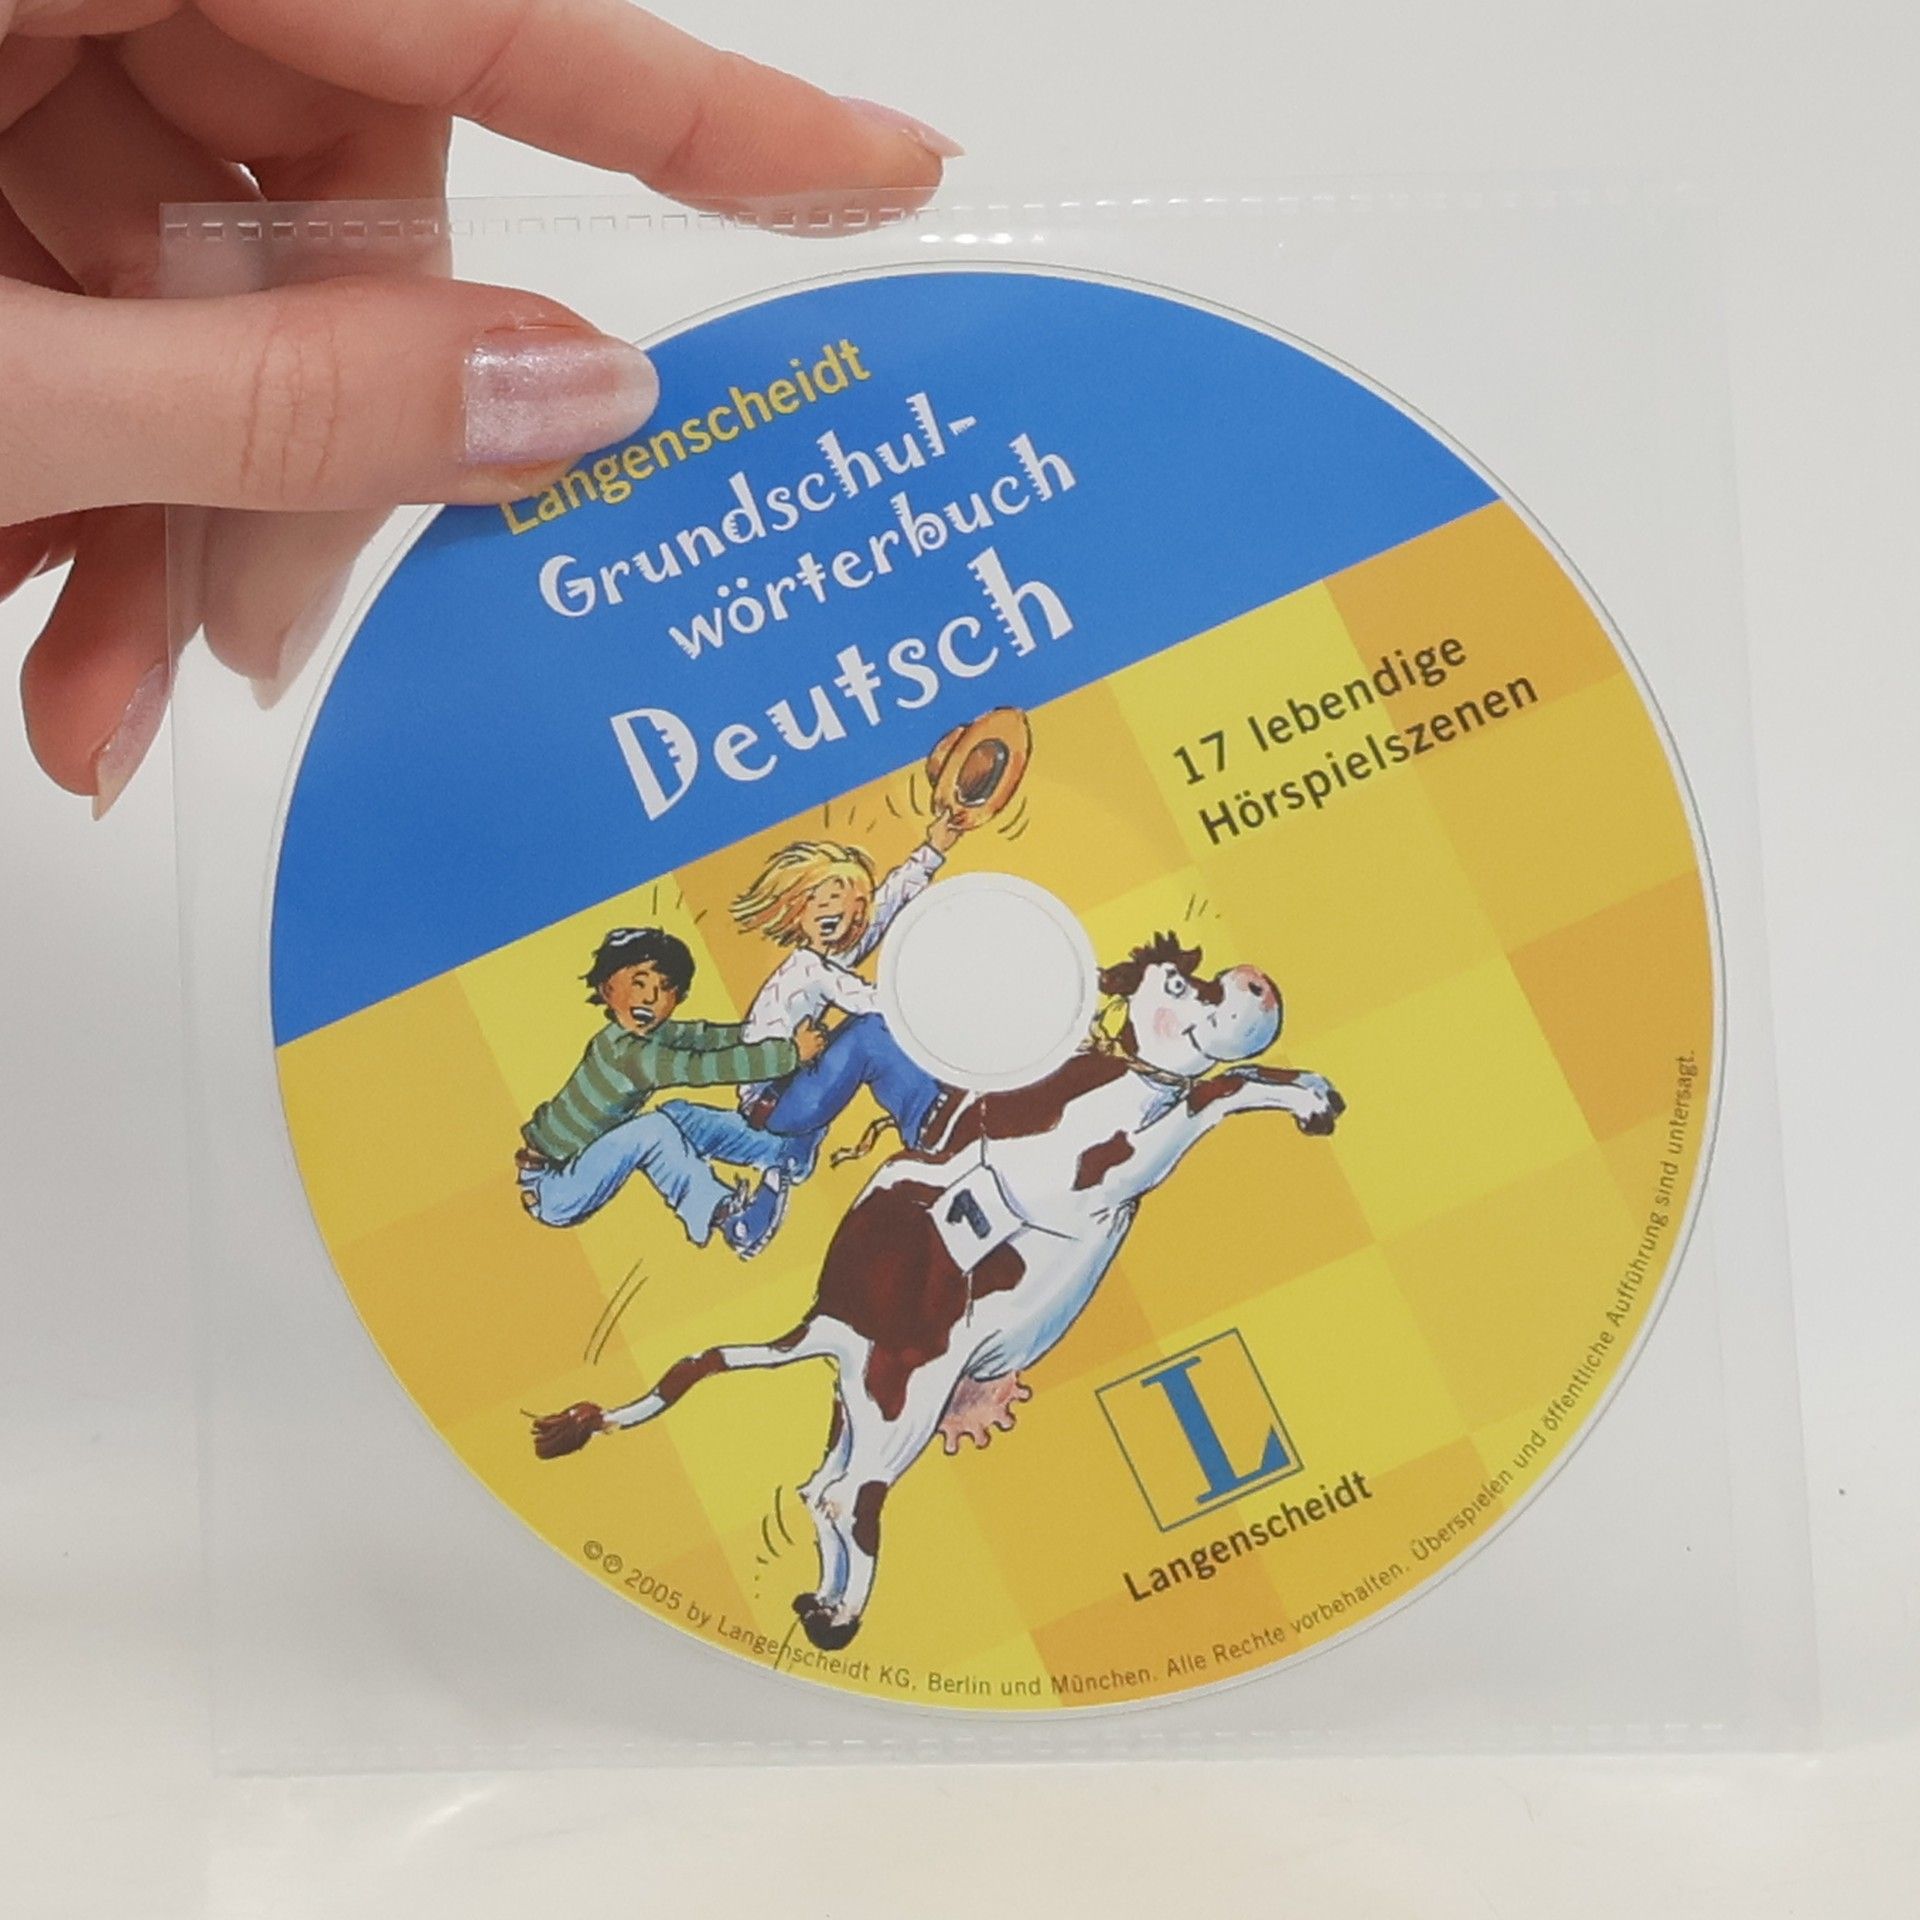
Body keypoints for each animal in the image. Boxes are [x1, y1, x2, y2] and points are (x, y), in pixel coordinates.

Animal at [531, 931, 1345, 1652]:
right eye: (1179, 984)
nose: (1258, 982)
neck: (1111, 1085)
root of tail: (827, 1319)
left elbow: (1240, 1080)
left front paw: (1317, 1094)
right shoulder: (1098, 1174)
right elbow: (1218, 1088)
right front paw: (1300, 1097)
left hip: (858, 1409)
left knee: (818, 1490)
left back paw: (821, 1602)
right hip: (905, 1407)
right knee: (850, 1498)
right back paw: (840, 1621)